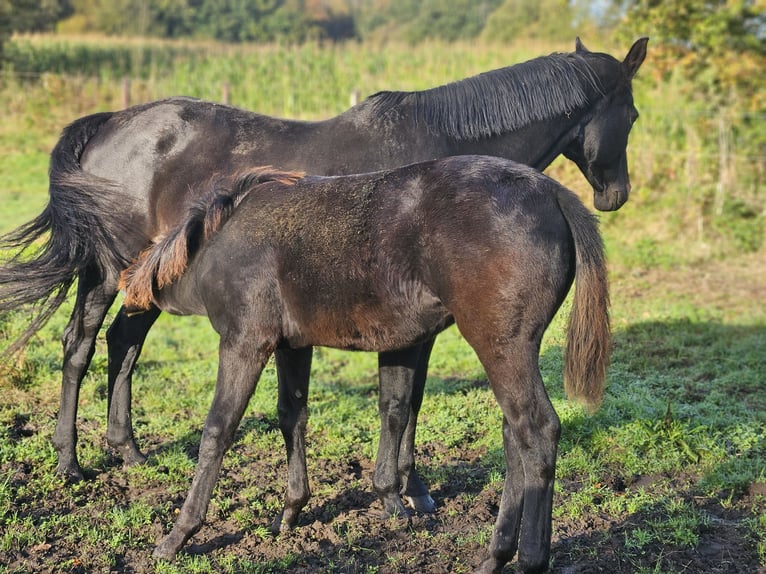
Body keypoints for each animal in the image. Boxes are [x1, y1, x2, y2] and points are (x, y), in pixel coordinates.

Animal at [0, 36, 648, 520]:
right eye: (635, 113)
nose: (615, 196)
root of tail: (111, 123)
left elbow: (405, 402)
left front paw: (411, 489)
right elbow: (399, 403)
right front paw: (404, 494)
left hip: (148, 282)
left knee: (122, 343)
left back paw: (128, 452)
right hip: (108, 272)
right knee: (80, 345)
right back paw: (69, 462)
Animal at [120, 158, 612, 574]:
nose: (123, 318)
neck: (218, 243)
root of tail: (552, 191)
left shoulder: (245, 342)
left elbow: (217, 431)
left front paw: (179, 535)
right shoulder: (294, 346)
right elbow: (293, 416)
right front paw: (291, 510)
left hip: (501, 347)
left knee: (537, 430)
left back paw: (528, 559)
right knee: (515, 436)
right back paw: (494, 556)